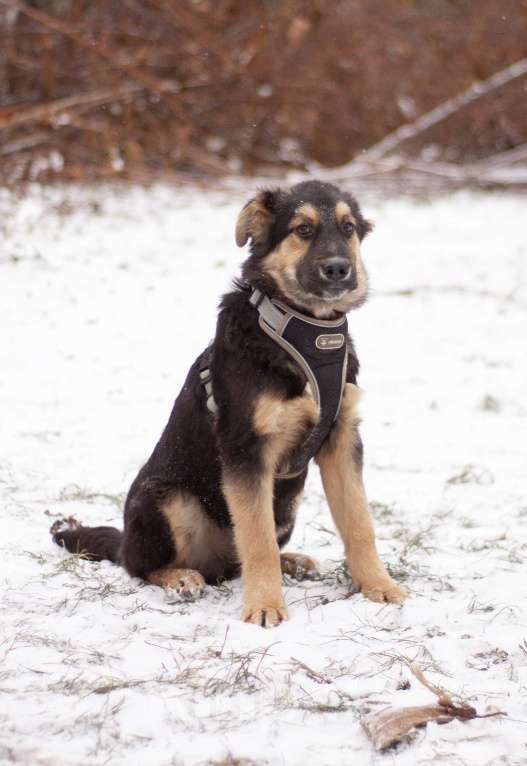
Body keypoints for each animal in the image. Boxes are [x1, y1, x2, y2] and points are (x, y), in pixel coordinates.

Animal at [52, 182, 408, 632]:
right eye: (303, 229)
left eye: (348, 228)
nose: (340, 269)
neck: (304, 331)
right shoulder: (246, 449)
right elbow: (257, 540)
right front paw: (265, 606)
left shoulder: (341, 439)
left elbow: (360, 523)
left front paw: (378, 585)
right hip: (167, 499)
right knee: (142, 566)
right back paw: (181, 577)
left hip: (287, 503)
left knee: (239, 560)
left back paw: (292, 561)